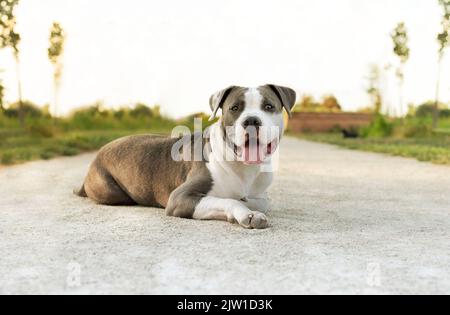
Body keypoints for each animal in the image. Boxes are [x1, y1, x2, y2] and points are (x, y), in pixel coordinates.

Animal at [75, 85, 298, 231]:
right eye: (235, 108)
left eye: (268, 106)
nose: (251, 120)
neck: (242, 167)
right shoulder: (180, 198)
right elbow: (228, 200)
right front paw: (246, 213)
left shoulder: (260, 195)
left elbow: (260, 201)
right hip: (112, 191)